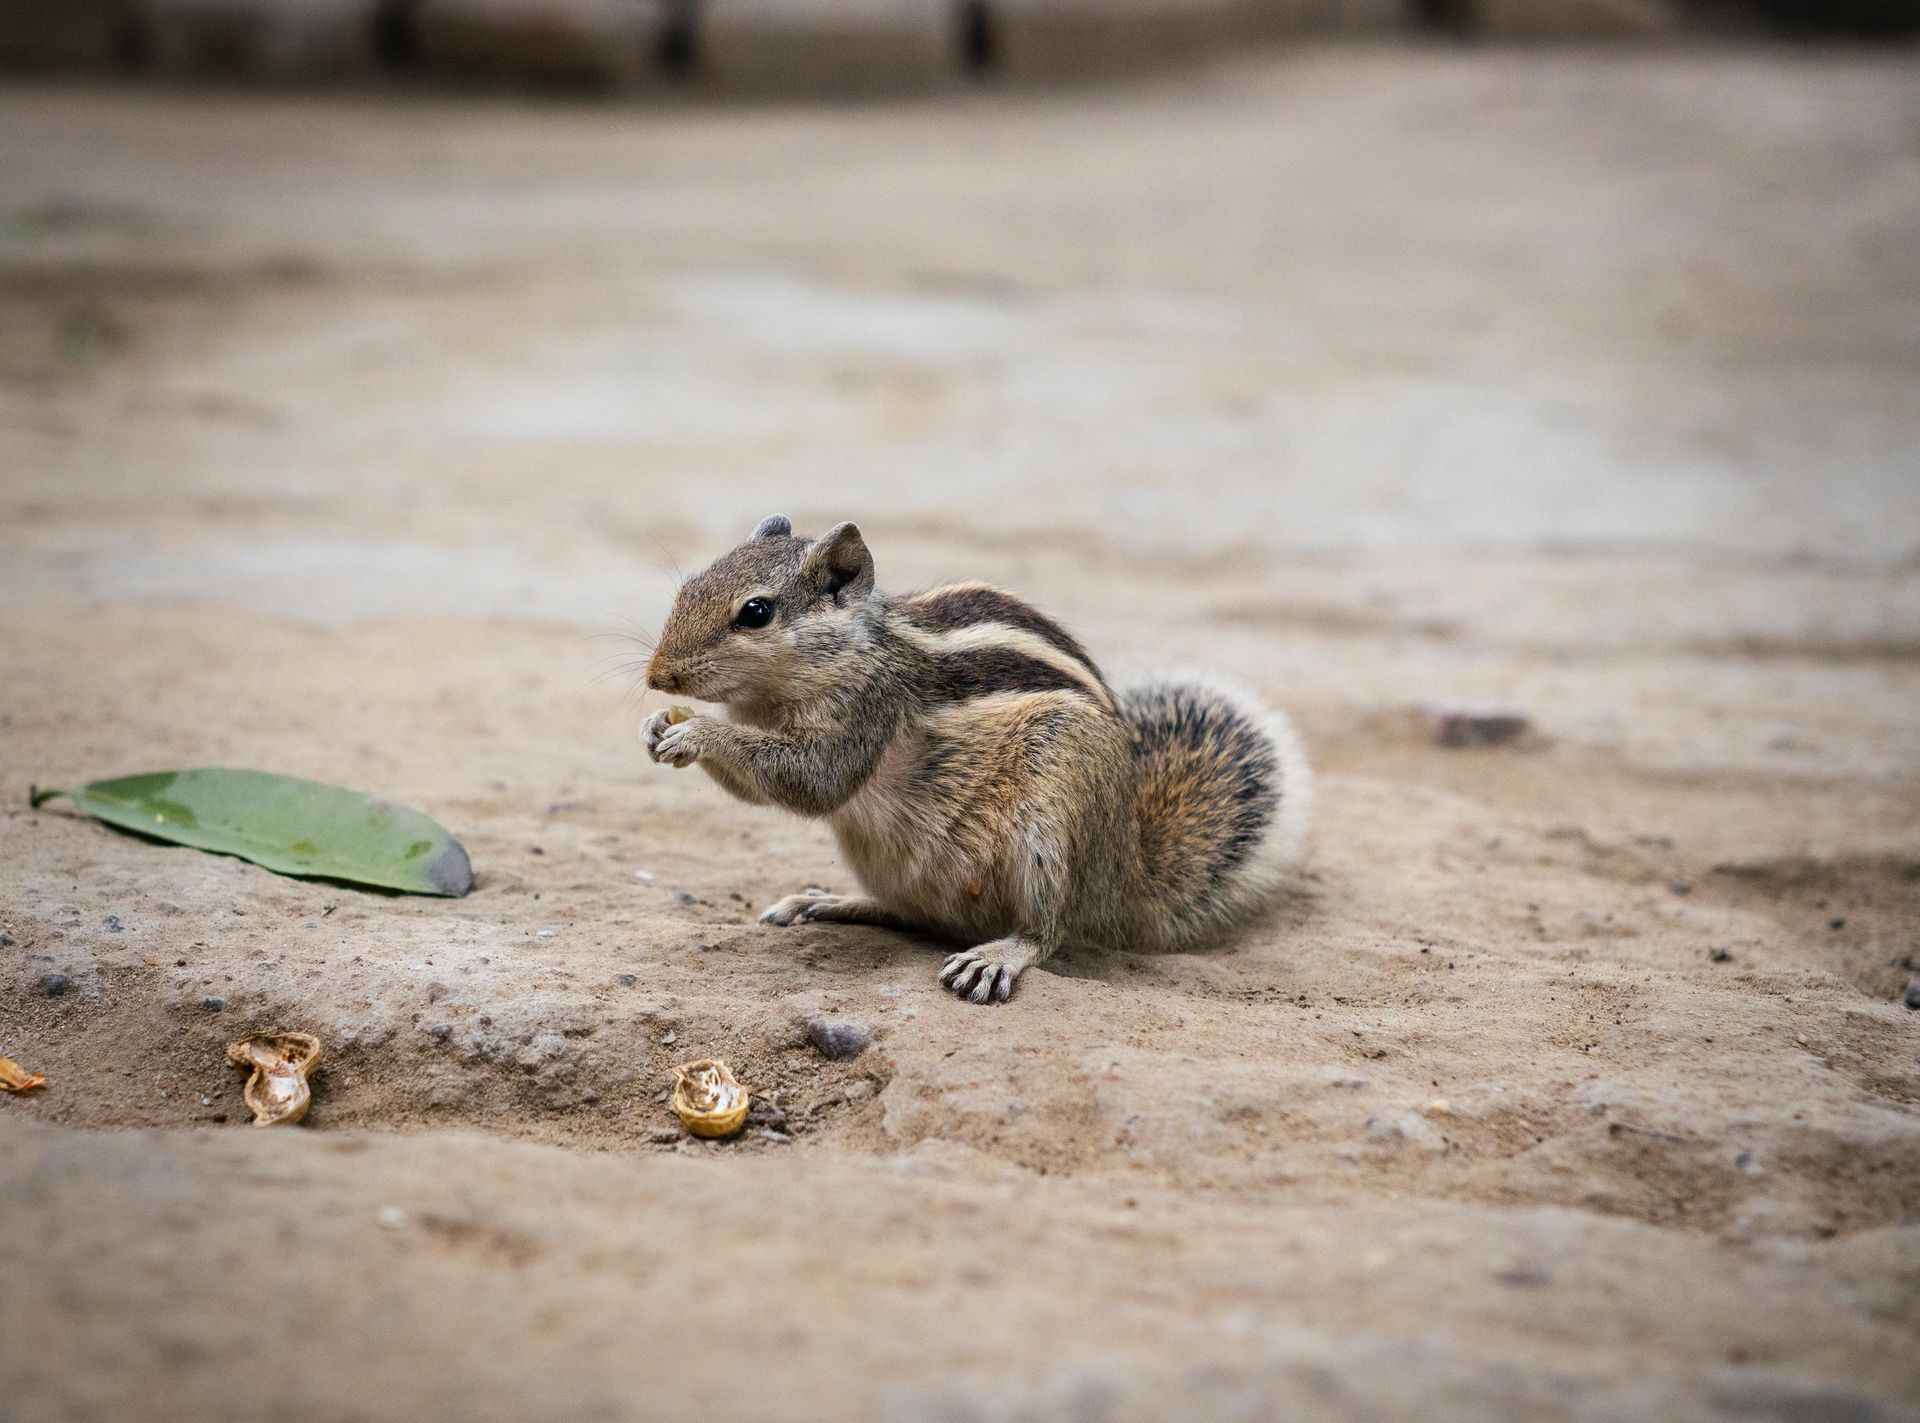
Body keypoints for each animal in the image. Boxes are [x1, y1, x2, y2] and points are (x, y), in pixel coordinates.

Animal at [642, 515, 1312, 1003]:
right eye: (689, 586)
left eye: (755, 612)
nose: (657, 677)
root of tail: (1125, 869)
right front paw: (657, 726)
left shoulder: (865, 714)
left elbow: (813, 782)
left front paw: (696, 731)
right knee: (915, 915)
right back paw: (825, 902)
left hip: (1055, 815)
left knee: (1048, 930)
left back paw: (998, 957)